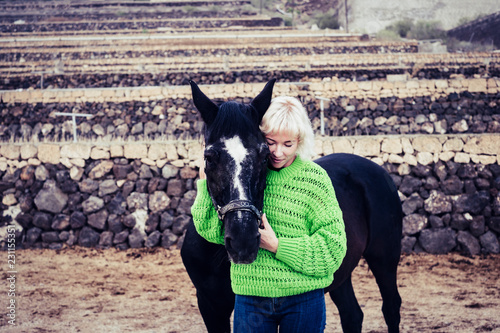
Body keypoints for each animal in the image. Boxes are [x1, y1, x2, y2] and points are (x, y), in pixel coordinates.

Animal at [180, 78, 402, 332]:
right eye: (209, 157)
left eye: (264, 155)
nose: (242, 241)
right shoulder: (211, 306)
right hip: (340, 273)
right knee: (352, 314)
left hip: (384, 258)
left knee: (391, 308)